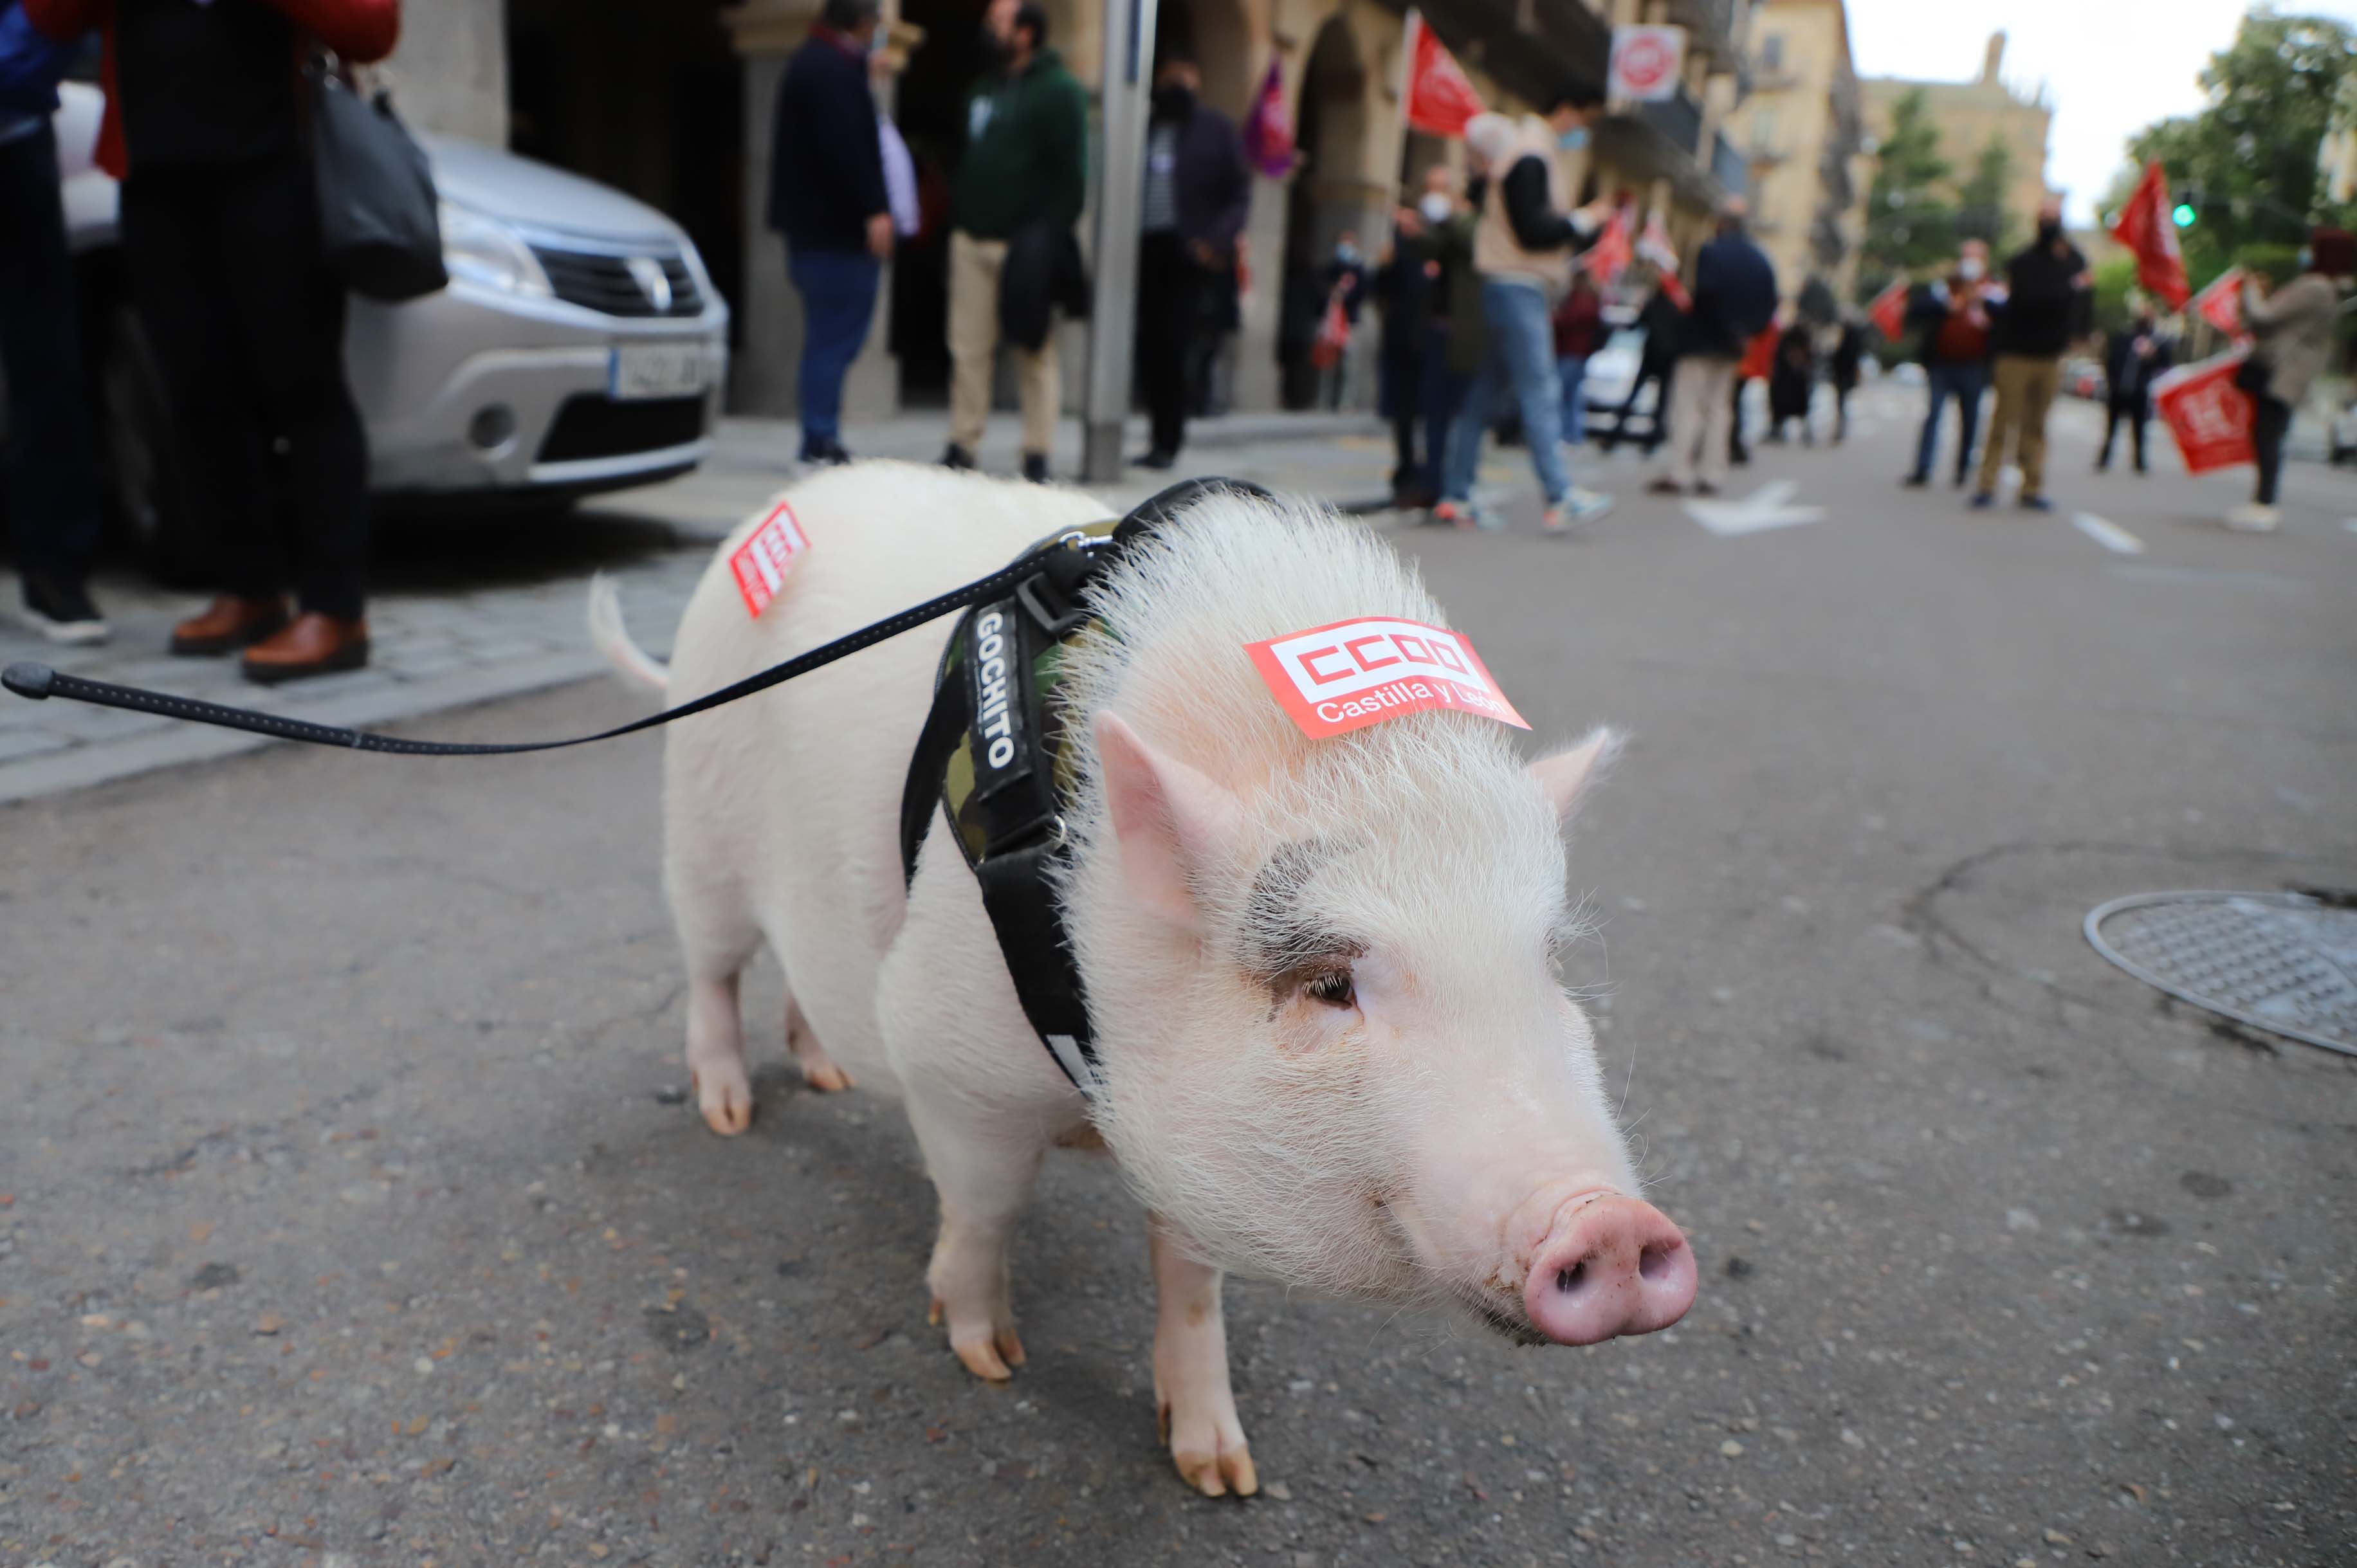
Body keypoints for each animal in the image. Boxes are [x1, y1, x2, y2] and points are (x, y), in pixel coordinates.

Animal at [589, 464, 1697, 1490]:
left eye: (1547, 962)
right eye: (1328, 983)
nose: (1613, 1223)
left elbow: (1193, 1276)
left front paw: (1222, 1473)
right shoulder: (952, 1062)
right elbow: (985, 1207)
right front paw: (989, 1358)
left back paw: (820, 1071)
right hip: (700, 828)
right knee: (713, 968)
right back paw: (729, 1110)